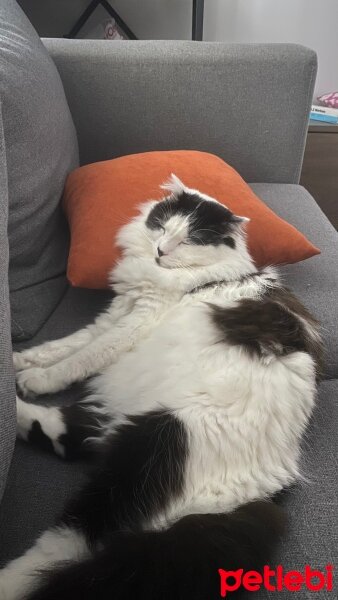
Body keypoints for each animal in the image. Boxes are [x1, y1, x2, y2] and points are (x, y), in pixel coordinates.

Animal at [0, 175, 322, 600]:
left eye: (190, 240)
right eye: (164, 226)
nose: (160, 250)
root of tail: (264, 490)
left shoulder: (134, 322)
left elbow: (81, 357)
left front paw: (40, 377)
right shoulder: (117, 312)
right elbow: (69, 343)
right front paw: (24, 360)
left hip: (149, 449)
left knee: (66, 544)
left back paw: (6, 579)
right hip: (128, 427)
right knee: (65, 434)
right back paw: (15, 401)